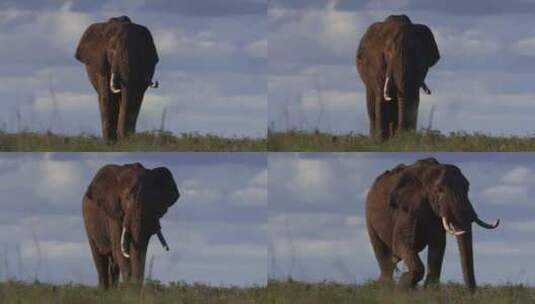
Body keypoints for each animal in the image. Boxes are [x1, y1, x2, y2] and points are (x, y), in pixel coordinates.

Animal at [366, 158, 500, 290]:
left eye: (467, 188)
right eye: (440, 190)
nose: (471, 293)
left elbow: (438, 245)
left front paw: (429, 291)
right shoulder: (405, 210)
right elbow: (401, 242)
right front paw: (404, 284)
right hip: (369, 214)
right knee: (382, 253)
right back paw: (384, 286)